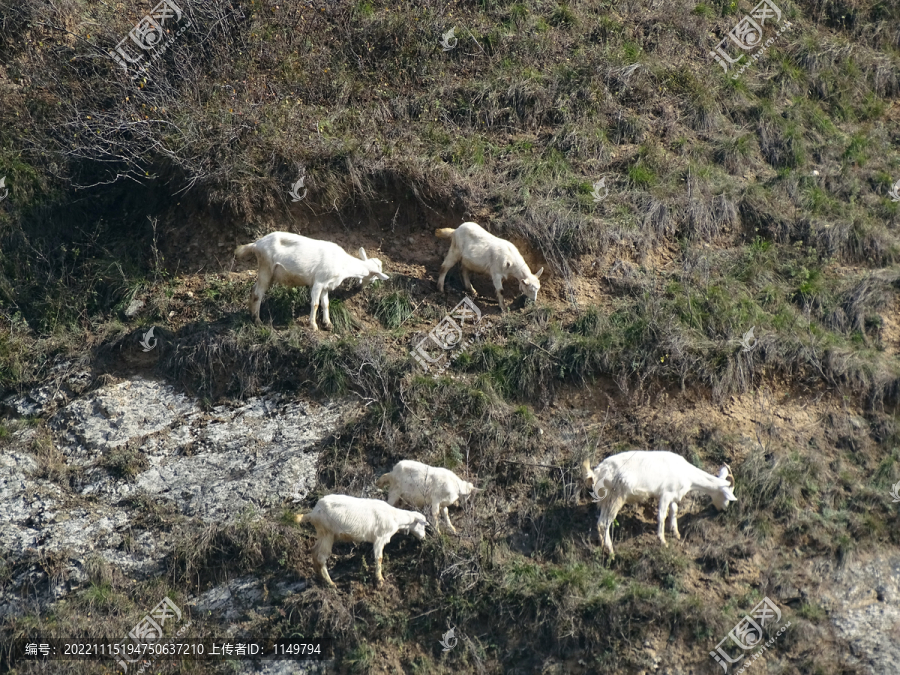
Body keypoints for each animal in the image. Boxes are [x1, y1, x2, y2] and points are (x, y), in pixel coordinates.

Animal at [234, 231, 388, 332]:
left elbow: (325, 303)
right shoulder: (318, 282)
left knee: (254, 289)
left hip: (268, 273)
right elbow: (315, 303)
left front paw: (327, 324)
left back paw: (251, 314)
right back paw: (258, 321)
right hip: (266, 267)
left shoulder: (326, 285)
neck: (343, 263)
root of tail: (256, 244)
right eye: (374, 278)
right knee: (258, 293)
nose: (359, 288)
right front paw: (313, 325)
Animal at [292, 494, 426, 588]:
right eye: (423, 525)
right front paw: (380, 580)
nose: (423, 537)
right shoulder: (379, 539)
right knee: (321, 557)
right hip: (327, 533)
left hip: (323, 533)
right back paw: (330, 583)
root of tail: (313, 513)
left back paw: (319, 576)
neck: (394, 517)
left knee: (314, 551)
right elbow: (379, 558)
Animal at [584, 452, 740, 556]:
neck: (687, 473)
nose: (723, 510)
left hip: (605, 499)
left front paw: (676, 534)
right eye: (728, 495)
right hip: (616, 497)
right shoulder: (665, 494)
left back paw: (603, 545)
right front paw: (663, 541)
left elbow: (674, 511)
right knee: (605, 522)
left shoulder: (674, 496)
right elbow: (661, 516)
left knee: (600, 521)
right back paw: (611, 551)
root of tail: (596, 472)